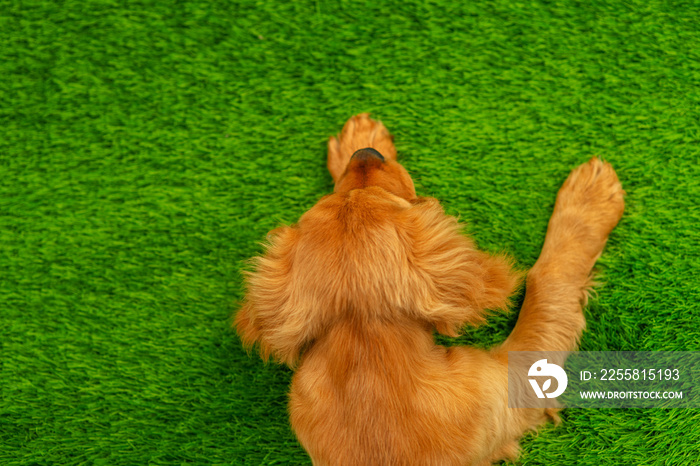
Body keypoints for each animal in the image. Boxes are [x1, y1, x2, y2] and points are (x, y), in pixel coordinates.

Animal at [235, 114, 624, 466]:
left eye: (356, 190)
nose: (366, 153)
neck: (363, 336)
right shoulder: (517, 384)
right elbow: (544, 283)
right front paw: (587, 201)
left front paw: (359, 136)